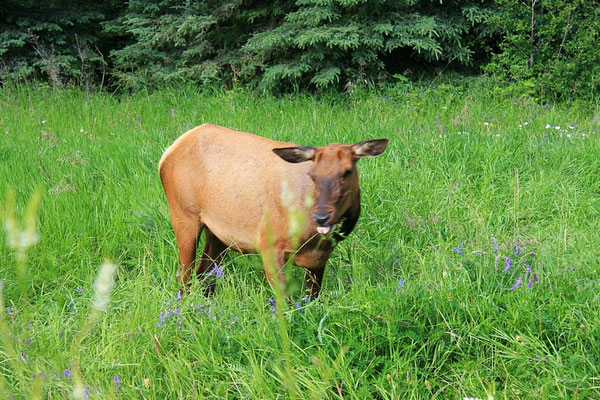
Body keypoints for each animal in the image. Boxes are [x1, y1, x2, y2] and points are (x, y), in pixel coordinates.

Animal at [157, 123, 386, 298]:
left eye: (347, 171)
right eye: (312, 174)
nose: (322, 217)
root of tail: (167, 152)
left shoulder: (320, 258)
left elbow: (312, 298)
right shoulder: (268, 242)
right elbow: (284, 301)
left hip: (217, 232)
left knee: (204, 273)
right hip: (183, 214)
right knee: (184, 276)